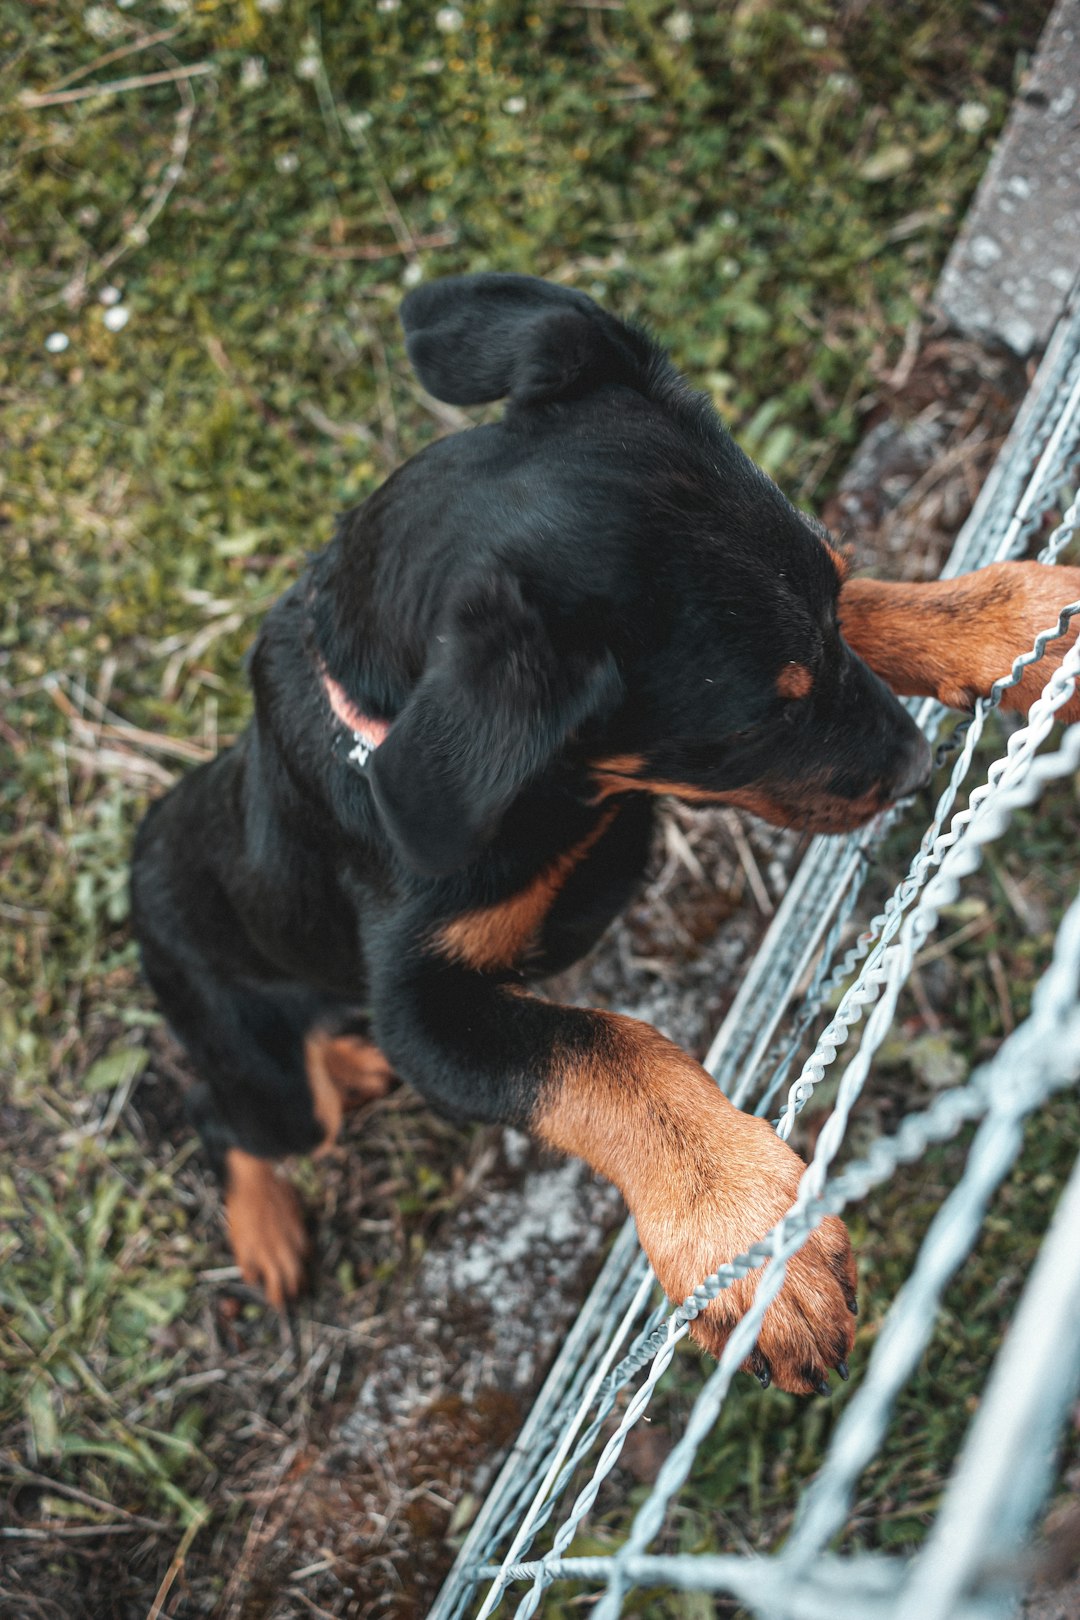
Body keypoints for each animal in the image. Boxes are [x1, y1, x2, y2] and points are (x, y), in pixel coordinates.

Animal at [132, 275, 1080, 1393]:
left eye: (839, 575)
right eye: (748, 729)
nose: (914, 771)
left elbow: (872, 614)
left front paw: (1011, 623)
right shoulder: (424, 1010)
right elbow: (604, 1052)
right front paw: (743, 1231)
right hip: (255, 1055)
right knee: (223, 1116)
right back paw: (267, 1228)